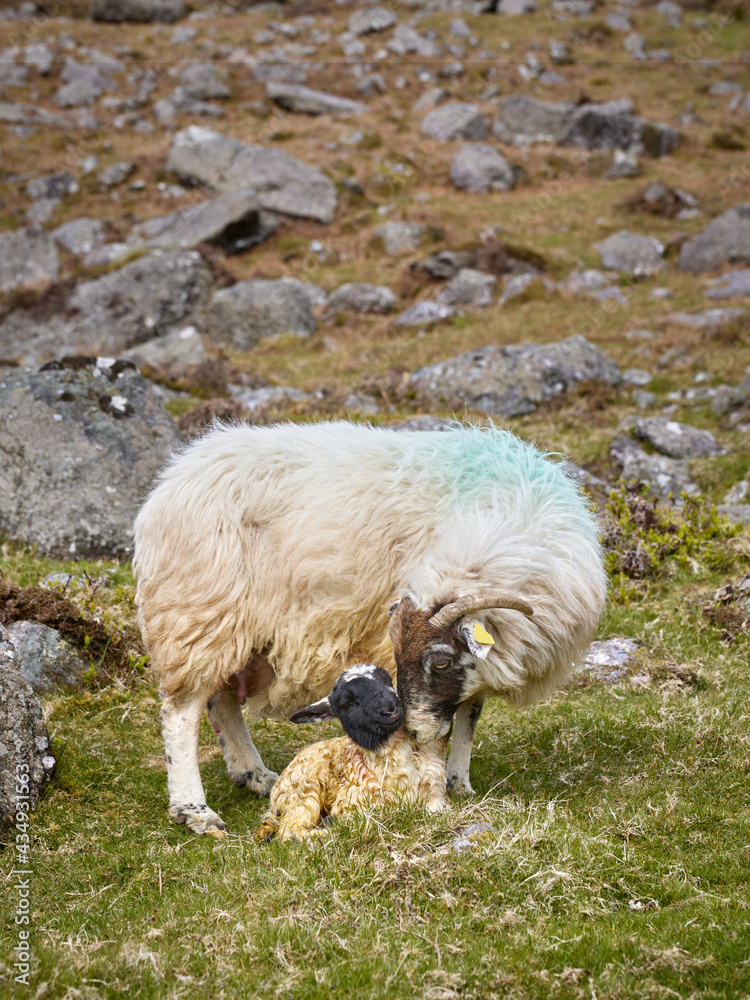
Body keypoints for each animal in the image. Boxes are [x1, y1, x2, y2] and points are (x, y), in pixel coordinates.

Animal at [256, 664, 448, 841]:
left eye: (388, 681)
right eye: (347, 703)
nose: (391, 708)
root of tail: (275, 799)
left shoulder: (435, 791)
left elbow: (436, 810)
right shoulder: (352, 804)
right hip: (304, 793)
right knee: (289, 831)